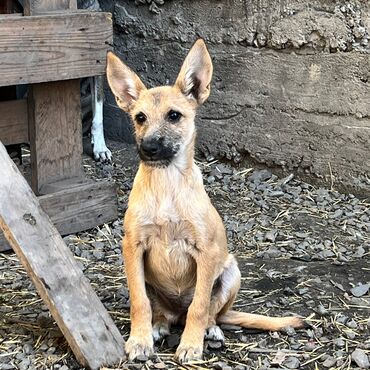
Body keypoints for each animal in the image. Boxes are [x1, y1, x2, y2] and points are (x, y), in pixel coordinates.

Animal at [106, 39, 304, 362]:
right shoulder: (132, 246)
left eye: (174, 116)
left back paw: (210, 330)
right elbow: (139, 302)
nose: (148, 148)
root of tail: (176, 313)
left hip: (231, 272)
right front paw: (140, 340)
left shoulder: (206, 252)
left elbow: (199, 306)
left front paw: (190, 345)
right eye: (140, 118)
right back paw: (159, 325)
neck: (167, 185)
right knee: (161, 311)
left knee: (210, 311)